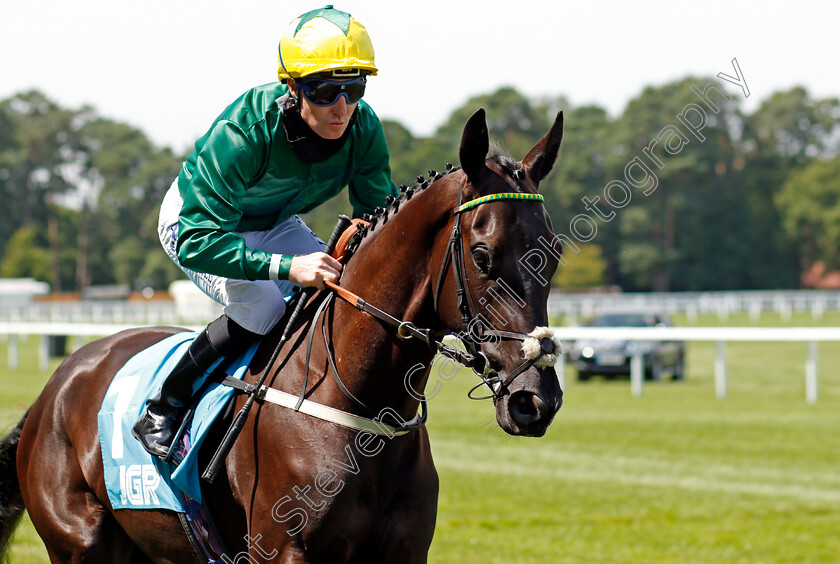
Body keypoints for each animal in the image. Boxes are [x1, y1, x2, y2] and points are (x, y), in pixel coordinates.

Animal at [1, 108, 564, 560]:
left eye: (554, 252)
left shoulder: (405, 551)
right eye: (483, 255)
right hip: (79, 544)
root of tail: (57, 384)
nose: (536, 400)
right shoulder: (284, 550)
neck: (358, 405)